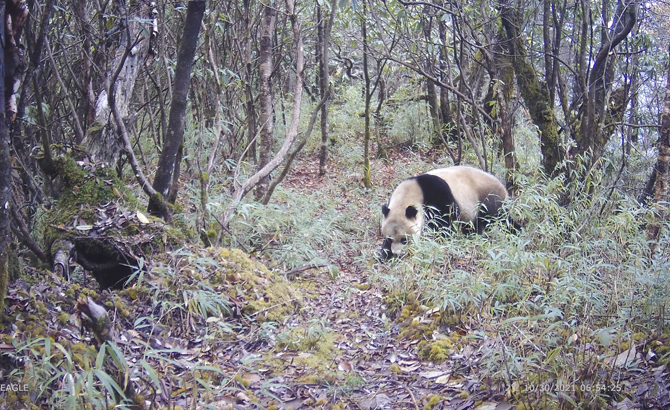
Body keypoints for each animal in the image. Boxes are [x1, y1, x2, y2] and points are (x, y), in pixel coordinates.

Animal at [380, 166, 512, 260]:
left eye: (404, 240)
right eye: (390, 239)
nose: (397, 253)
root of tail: (503, 189)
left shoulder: (436, 193)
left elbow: (446, 221)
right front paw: (385, 253)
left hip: (488, 199)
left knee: (492, 220)